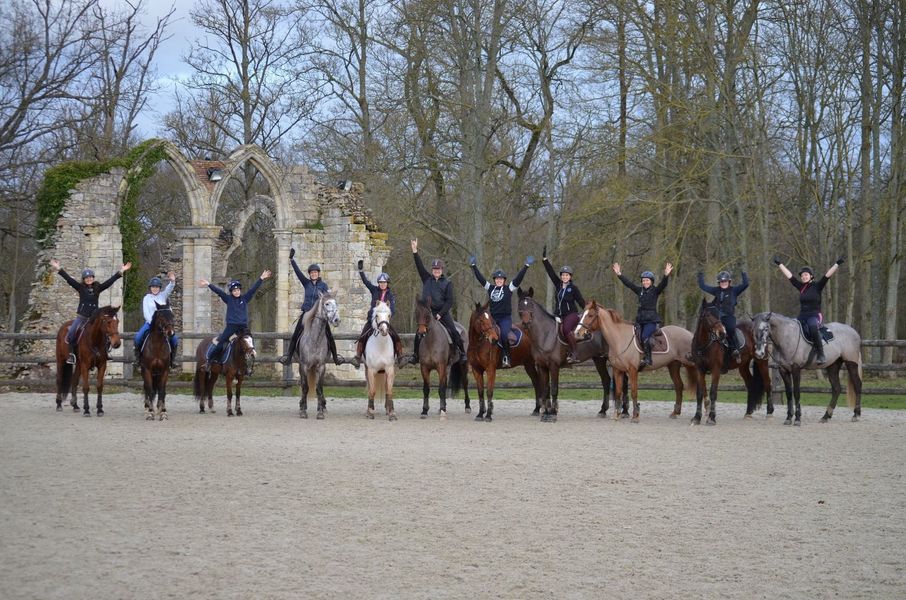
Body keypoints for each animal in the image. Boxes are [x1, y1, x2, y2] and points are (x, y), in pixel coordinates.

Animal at [296, 292, 340, 420]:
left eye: (336, 303)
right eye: (327, 303)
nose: (337, 320)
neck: (315, 340)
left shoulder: (321, 366)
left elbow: (319, 388)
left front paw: (320, 412)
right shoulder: (304, 366)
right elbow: (305, 387)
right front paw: (303, 411)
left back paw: (323, 406)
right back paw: (302, 405)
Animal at [516, 290, 616, 422]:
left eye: (531, 305)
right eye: (520, 305)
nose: (526, 323)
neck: (546, 334)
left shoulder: (554, 366)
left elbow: (554, 389)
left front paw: (552, 413)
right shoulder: (542, 366)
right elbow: (545, 389)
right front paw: (546, 413)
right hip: (599, 359)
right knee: (606, 380)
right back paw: (603, 410)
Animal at [572, 300, 700, 422]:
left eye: (590, 315)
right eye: (583, 314)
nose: (577, 333)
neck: (620, 338)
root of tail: (690, 334)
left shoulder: (632, 370)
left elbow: (634, 392)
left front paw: (635, 416)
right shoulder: (617, 370)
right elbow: (618, 392)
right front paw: (616, 415)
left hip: (693, 365)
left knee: (699, 389)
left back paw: (697, 417)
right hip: (673, 365)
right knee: (679, 386)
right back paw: (675, 413)